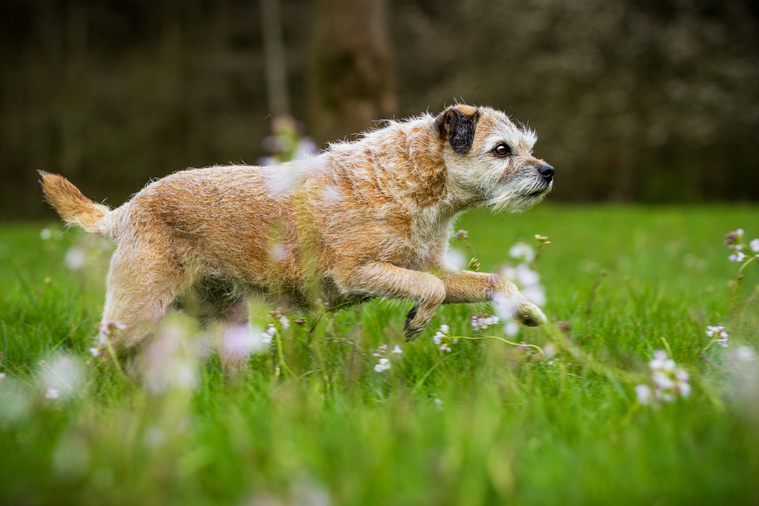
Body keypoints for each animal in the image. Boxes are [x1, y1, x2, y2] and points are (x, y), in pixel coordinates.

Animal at [40, 105, 552, 354]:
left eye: (527, 147)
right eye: (501, 150)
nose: (549, 172)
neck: (407, 181)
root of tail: (130, 207)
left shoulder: (428, 264)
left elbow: (489, 281)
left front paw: (527, 312)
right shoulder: (357, 271)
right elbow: (432, 289)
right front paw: (418, 321)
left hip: (223, 315)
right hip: (137, 311)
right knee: (103, 353)